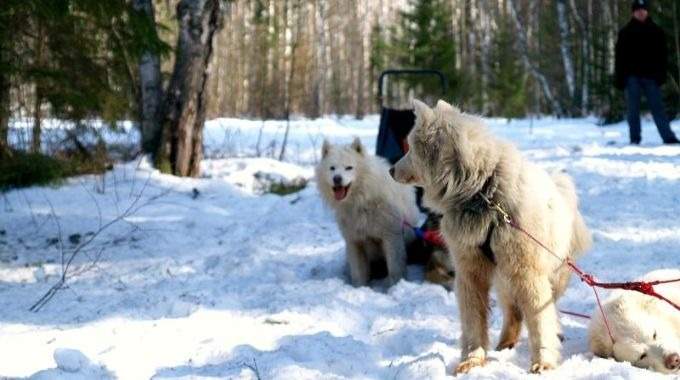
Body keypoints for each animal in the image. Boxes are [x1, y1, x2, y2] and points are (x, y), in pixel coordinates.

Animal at [314, 138, 420, 286]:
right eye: (332, 168)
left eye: (349, 167)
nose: (337, 179)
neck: (361, 201)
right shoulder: (354, 241)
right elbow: (358, 273)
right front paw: (359, 287)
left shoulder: (391, 236)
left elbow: (395, 268)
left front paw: (394, 286)